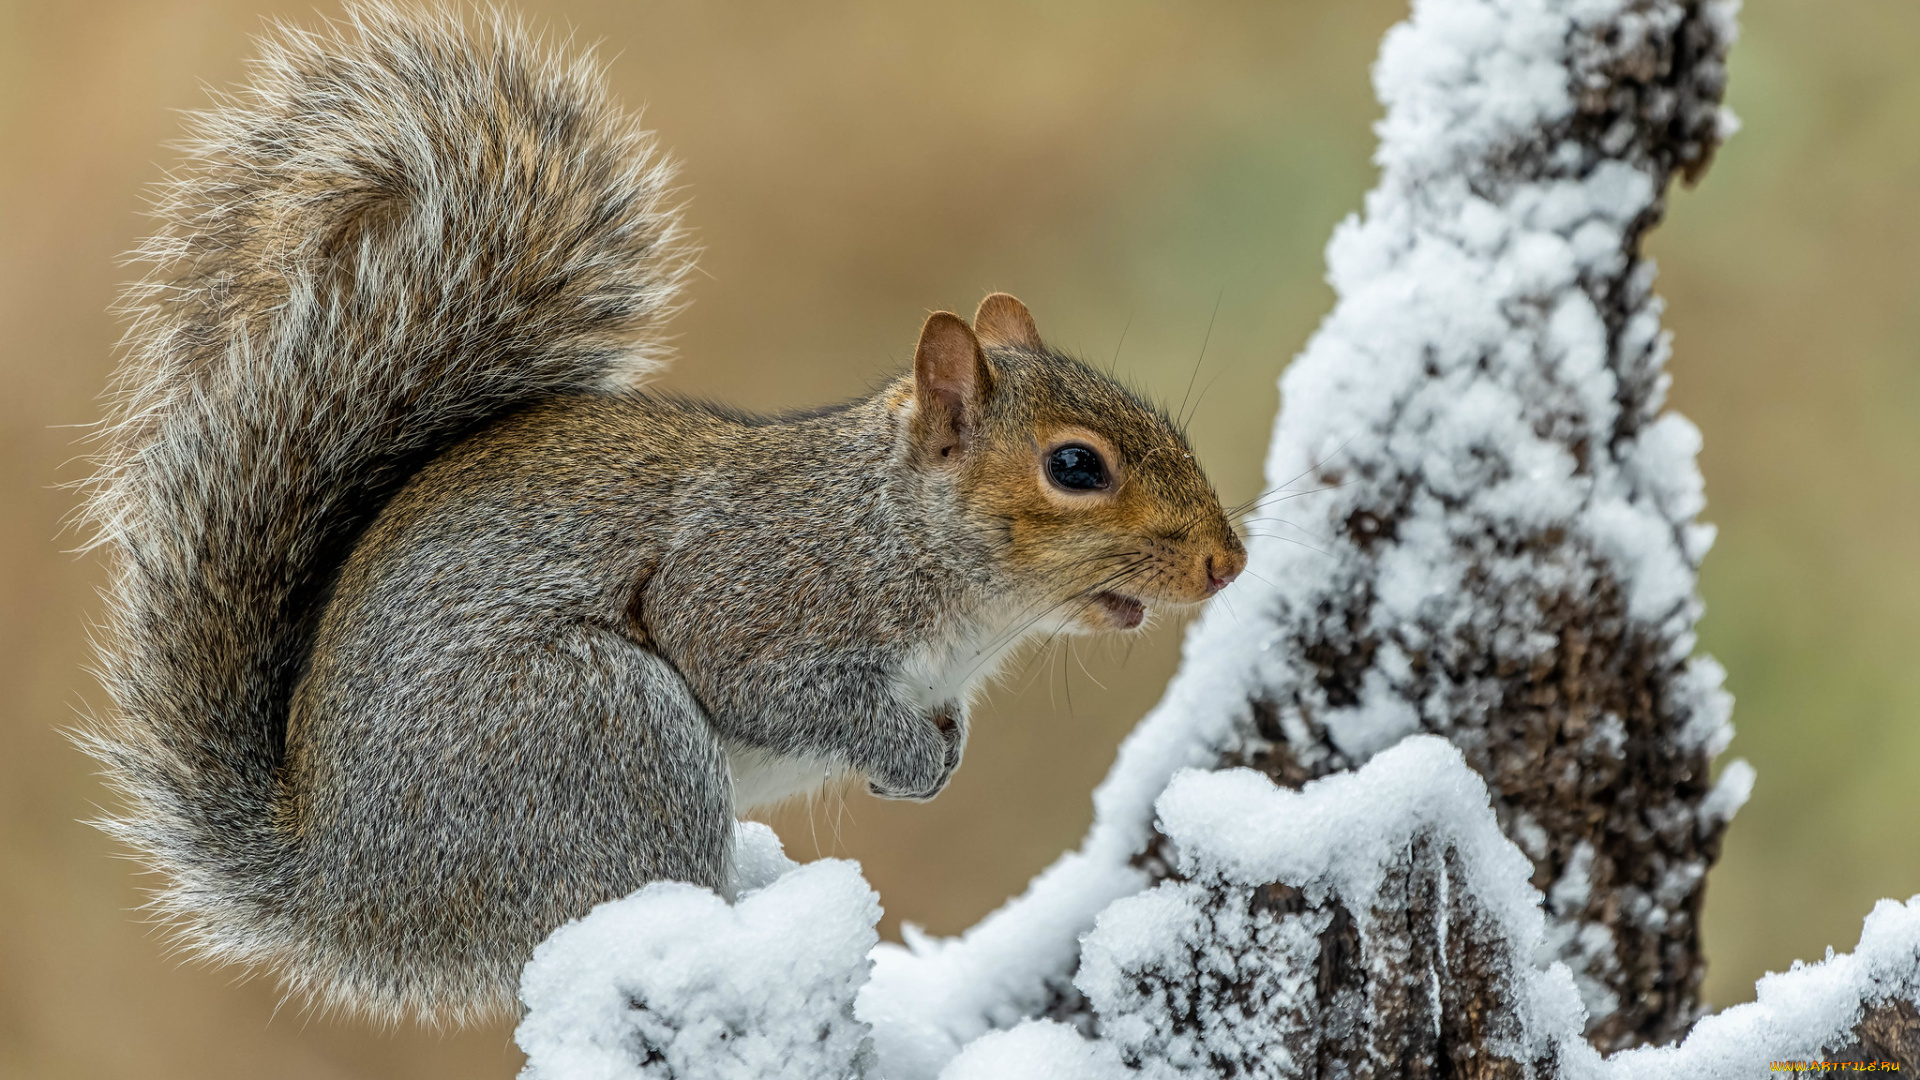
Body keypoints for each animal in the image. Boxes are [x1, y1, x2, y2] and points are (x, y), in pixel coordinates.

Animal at [78, 2, 1244, 1022]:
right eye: (1075, 467)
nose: (1227, 563)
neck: (903, 539)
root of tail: (348, 895)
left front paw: (944, 747)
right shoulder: (760, 596)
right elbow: (774, 687)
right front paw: (911, 757)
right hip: (603, 732)